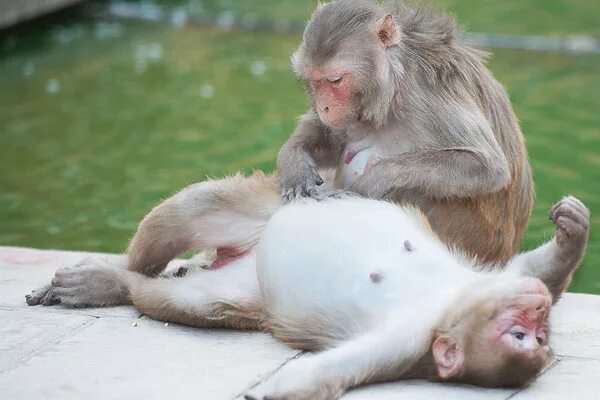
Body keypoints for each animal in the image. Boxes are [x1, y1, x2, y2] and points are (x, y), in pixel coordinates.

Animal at [25, 173, 588, 398]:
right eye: (527, 331)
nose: (538, 313)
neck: (443, 303)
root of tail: (243, 257)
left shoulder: (405, 344)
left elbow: (322, 375)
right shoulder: (479, 284)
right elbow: (530, 272)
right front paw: (571, 236)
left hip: (243, 293)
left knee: (190, 303)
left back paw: (114, 285)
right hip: (270, 203)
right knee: (187, 214)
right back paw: (118, 269)